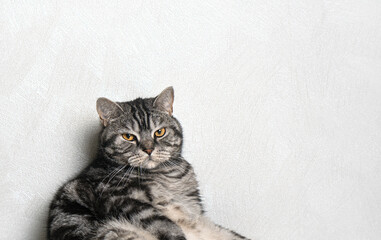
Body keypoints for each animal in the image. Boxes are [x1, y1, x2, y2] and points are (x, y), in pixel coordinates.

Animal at [47, 86, 249, 240]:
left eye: (159, 132)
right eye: (128, 136)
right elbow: (164, 223)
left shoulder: (195, 209)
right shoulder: (118, 198)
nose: (149, 149)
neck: (167, 176)